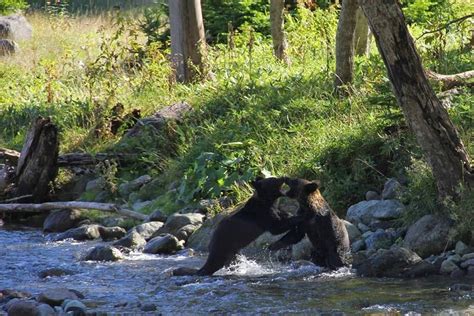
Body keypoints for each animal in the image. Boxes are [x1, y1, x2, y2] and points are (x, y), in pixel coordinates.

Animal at [174, 177, 304, 276]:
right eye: (273, 180)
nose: (283, 177)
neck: (267, 202)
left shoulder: (274, 210)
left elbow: (283, 216)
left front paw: (292, 215)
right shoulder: (263, 215)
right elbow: (277, 227)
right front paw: (299, 217)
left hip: (233, 251)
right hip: (223, 248)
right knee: (214, 265)